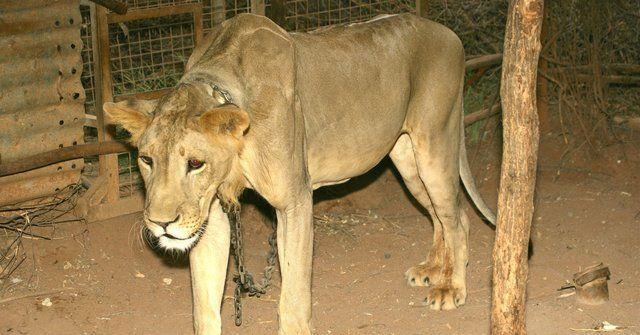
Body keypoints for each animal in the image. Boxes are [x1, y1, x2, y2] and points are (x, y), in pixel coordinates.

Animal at [104, 13, 496, 335]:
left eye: (196, 163)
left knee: (457, 217)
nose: (160, 223)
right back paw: (433, 268)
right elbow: (204, 305)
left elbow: (293, 298)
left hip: (435, 144)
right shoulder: (210, 214)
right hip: (406, 160)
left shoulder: (294, 202)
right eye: (146, 160)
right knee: (437, 215)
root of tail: (448, 33)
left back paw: (451, 287)